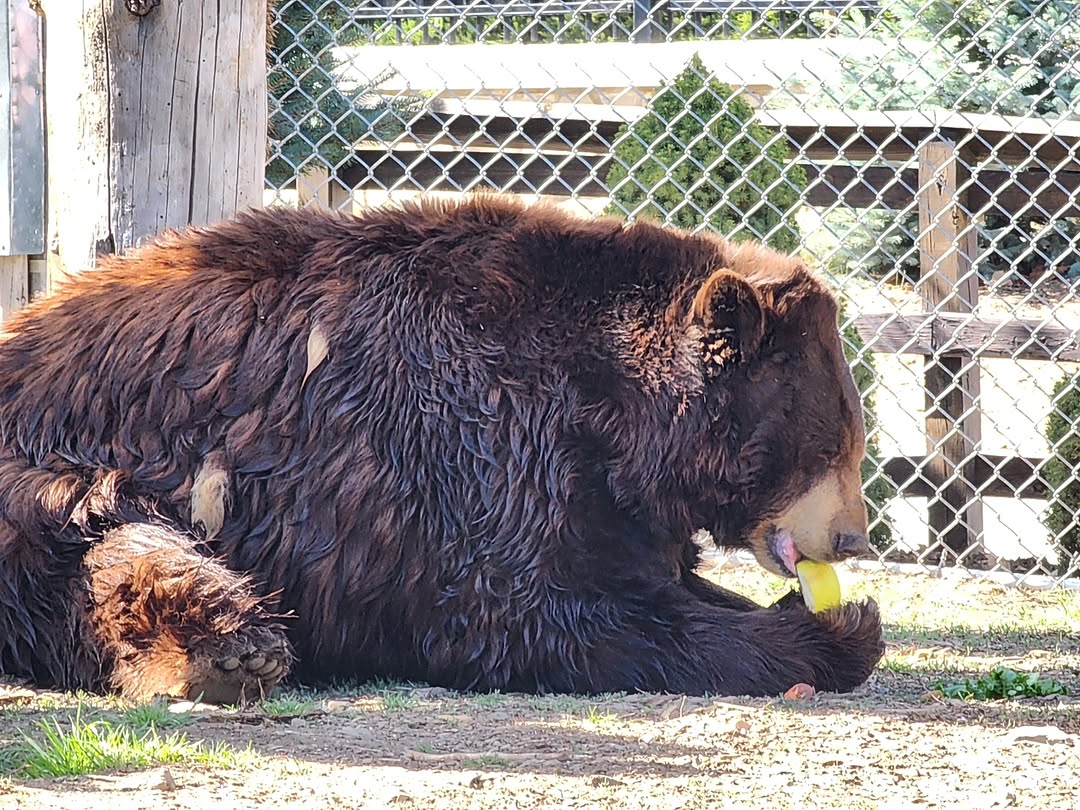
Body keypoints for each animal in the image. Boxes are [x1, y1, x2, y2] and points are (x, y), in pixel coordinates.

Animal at [0, 194, 884, 702]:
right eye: (836, 439)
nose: (853, 538)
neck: (613, 422)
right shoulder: (465, 450)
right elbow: (530, 610)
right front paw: (839, 632)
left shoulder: (604, 499)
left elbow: (645, 575)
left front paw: (802, 609)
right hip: (57, 475)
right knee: (121, 543)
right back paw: (228, 645)